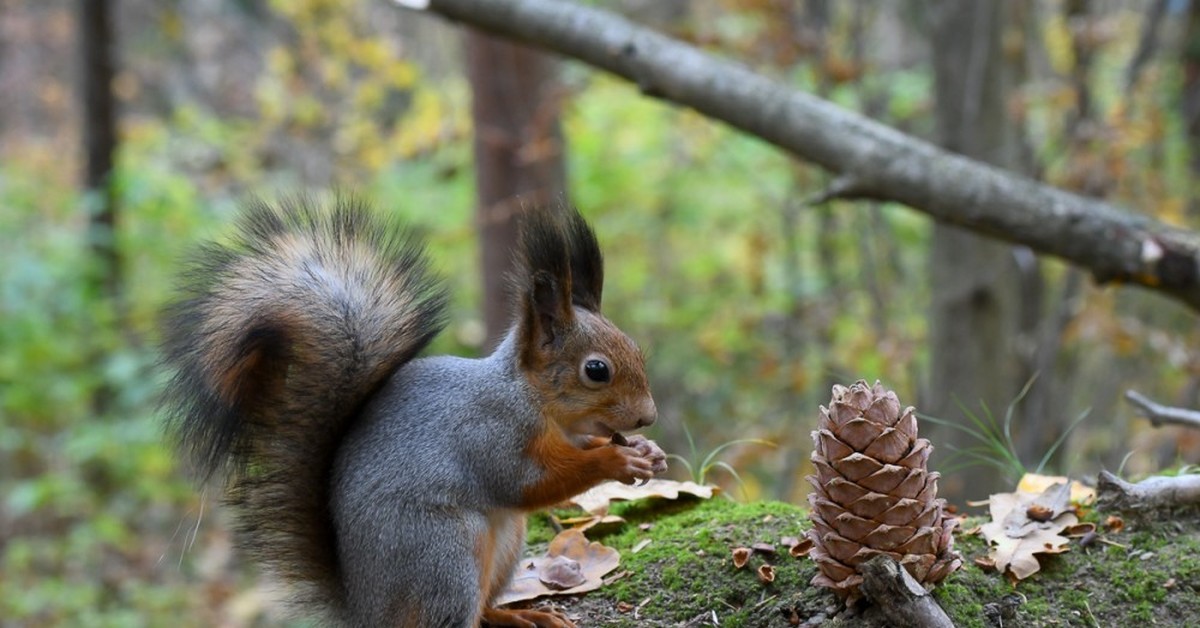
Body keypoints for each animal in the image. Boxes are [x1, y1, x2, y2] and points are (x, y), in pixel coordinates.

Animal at [162, 198, 667, 628]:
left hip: (502, 545)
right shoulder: (488, 433)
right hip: (443, 555)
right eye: (596, 370)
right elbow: (527, 482)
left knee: (484, 607)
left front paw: (649, 452)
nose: (648, 417)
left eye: (634, 348)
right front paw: (616, 460)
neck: (533, 400)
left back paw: (521, 615)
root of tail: (367, 612)